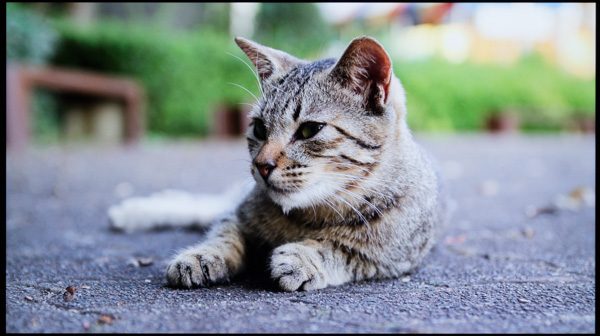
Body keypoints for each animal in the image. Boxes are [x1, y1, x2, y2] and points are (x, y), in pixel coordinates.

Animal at [109, 35, 446, 290]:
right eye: (259, 128)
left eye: (310, 130)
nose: (261, 165)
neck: (308, 215)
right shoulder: (238, 216)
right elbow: (224, 235)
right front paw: (202, 256)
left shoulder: (388, 259)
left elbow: (337, 247)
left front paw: (302, 257)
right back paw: (134, 211)